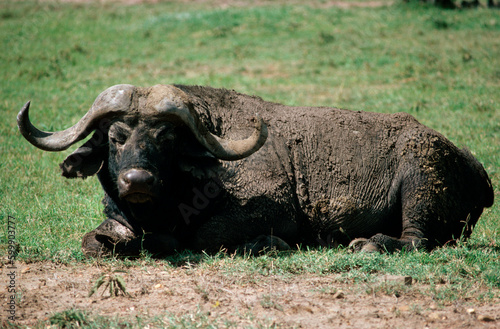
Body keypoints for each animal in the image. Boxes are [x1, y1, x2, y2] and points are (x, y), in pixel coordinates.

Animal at [16, 83, 496, 255]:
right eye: (115, 137)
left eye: (167, 140)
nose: (137, 181)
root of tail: (470, 162)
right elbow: (93, 242)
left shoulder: (274, 210)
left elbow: (198, 238)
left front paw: (267, 244)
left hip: (420, 180)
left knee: (416, 239)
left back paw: (370, 244)